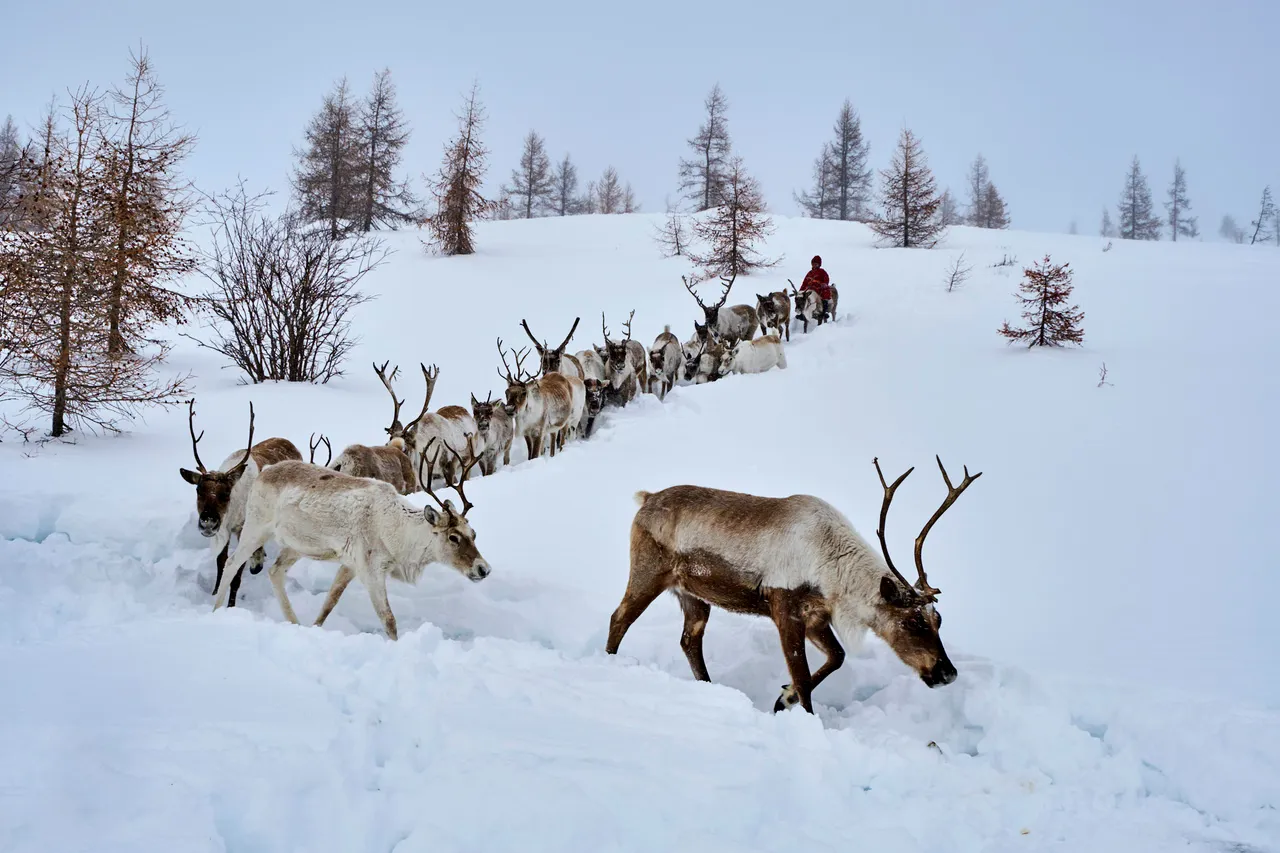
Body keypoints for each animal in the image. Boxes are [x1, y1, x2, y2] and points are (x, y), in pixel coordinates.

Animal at [179, 400, 301, 608]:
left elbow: (236, 574)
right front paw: (215, 592)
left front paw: (230, 605)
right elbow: (221, 563)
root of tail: (289, 443)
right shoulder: (225, 530)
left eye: (225, 493)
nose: (208, 523)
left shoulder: (243, 528)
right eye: (198, 490)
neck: (232, 514)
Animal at [212, 436, 492, 640]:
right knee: (232, 562)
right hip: (256, 526)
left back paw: (294, 622)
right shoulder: (371, 570)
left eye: (473, 534)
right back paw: (215, 610)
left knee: (275, 571)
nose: (484, 569)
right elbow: (388, 619)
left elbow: (330, 601)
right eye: (453, 537)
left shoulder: (350, 565)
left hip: (296, 545)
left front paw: (315, 627)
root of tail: (265, 471)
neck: (398, 536)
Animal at [606, 456, 980, 714]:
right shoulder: (785, 608)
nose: (947, 673)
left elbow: (837, 657)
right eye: (912, 621)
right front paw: (802, 714)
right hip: (648, 572)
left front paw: (783, 698)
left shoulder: (816, 616)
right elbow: (802, 676)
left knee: (689, 640)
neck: (833, 569)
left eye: (938, 619)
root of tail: (646, 498)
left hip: (693, 594)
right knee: (619, 617)